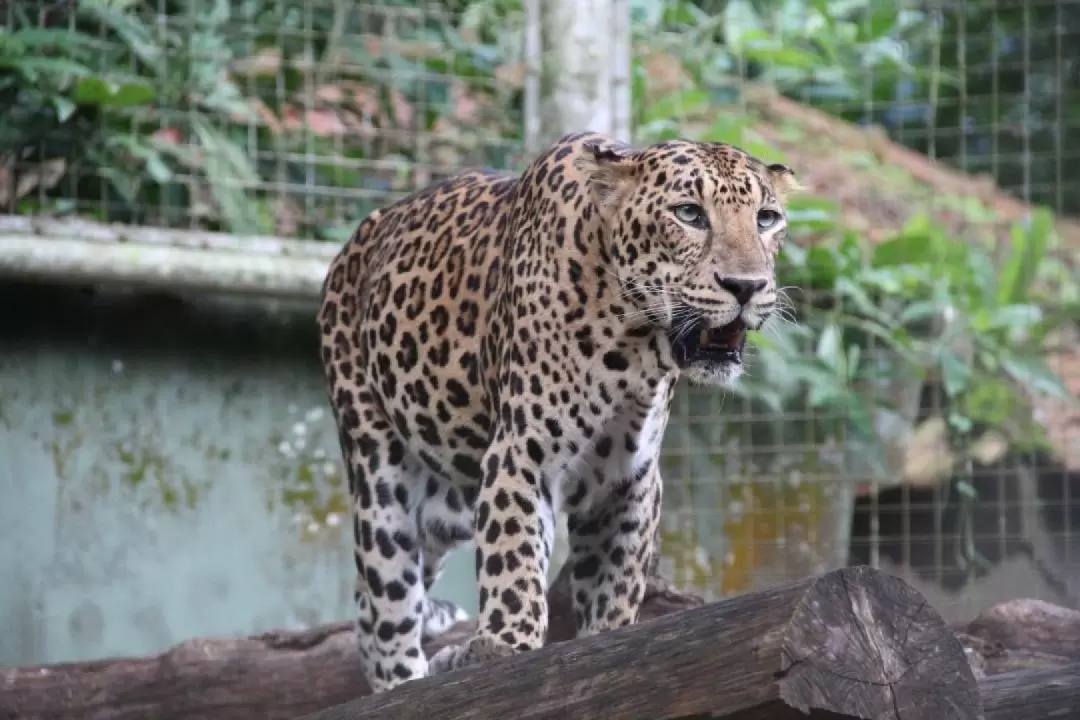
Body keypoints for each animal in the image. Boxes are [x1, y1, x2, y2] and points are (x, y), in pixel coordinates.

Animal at [315, 129, 799, 690]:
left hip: (442, 505)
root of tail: (358, 237)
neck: (633, 346)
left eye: (766, 218)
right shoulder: (521, 456)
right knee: (387, 600)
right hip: (380, 473)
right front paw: (504, 647)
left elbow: (615, 589)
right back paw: (404, 679)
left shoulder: (629, 483)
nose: (747, 286)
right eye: (689, 214)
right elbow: (513, 563)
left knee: (369, 599)